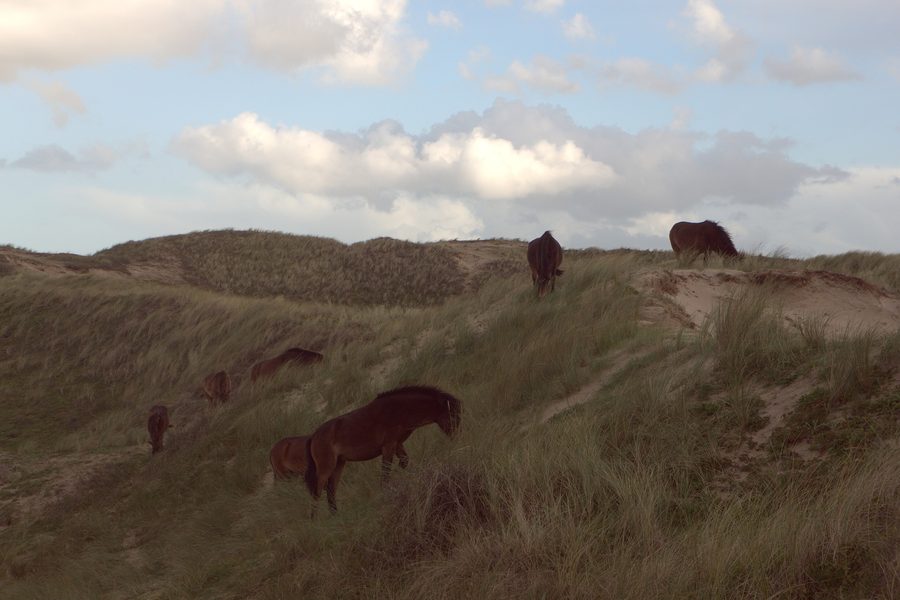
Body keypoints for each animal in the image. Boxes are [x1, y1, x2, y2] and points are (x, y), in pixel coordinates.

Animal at [303, 385, 462, 515]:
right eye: (452, 415)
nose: (456, 438)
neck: (400, 409)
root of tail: (314, 436)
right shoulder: (388, 446)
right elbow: (385, 474)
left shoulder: (397, 444)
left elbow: (404, 461)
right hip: (326, 468)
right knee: (317, 493)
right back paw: (315, 520)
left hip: (339, 464)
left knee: (331, 491)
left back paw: (335, 516)